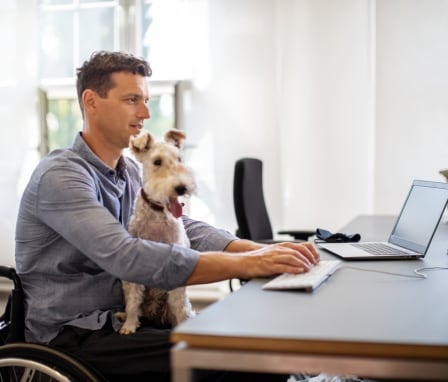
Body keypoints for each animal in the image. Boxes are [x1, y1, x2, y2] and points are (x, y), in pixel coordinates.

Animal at [117, 130, 196, 336]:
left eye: (179, 159)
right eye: (157, 161)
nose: (181, 188)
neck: (157, 212)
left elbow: (179, 305)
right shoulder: (133, 267)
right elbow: (132, 301)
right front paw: (129, 325)